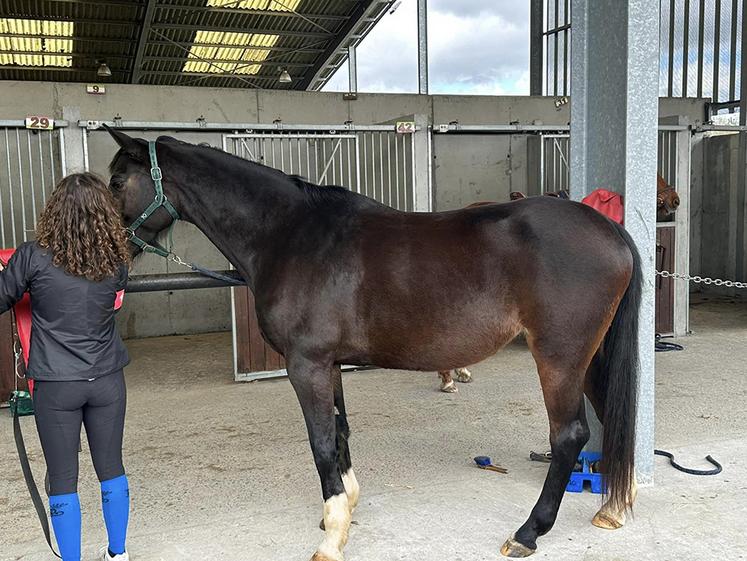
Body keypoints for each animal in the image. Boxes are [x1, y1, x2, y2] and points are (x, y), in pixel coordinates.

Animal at [105, 127, 641, 560]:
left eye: (115, 182)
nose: (108, 250)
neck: (292, 235)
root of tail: (609, 229)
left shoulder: (307, 365)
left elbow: (322, 441)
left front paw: (330, 539)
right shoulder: (329, 365)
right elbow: (341, 434)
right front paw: (340, 514)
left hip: (559, 357)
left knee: (569, 434)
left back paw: (528, 532)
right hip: (590, 359)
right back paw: (614, 509)